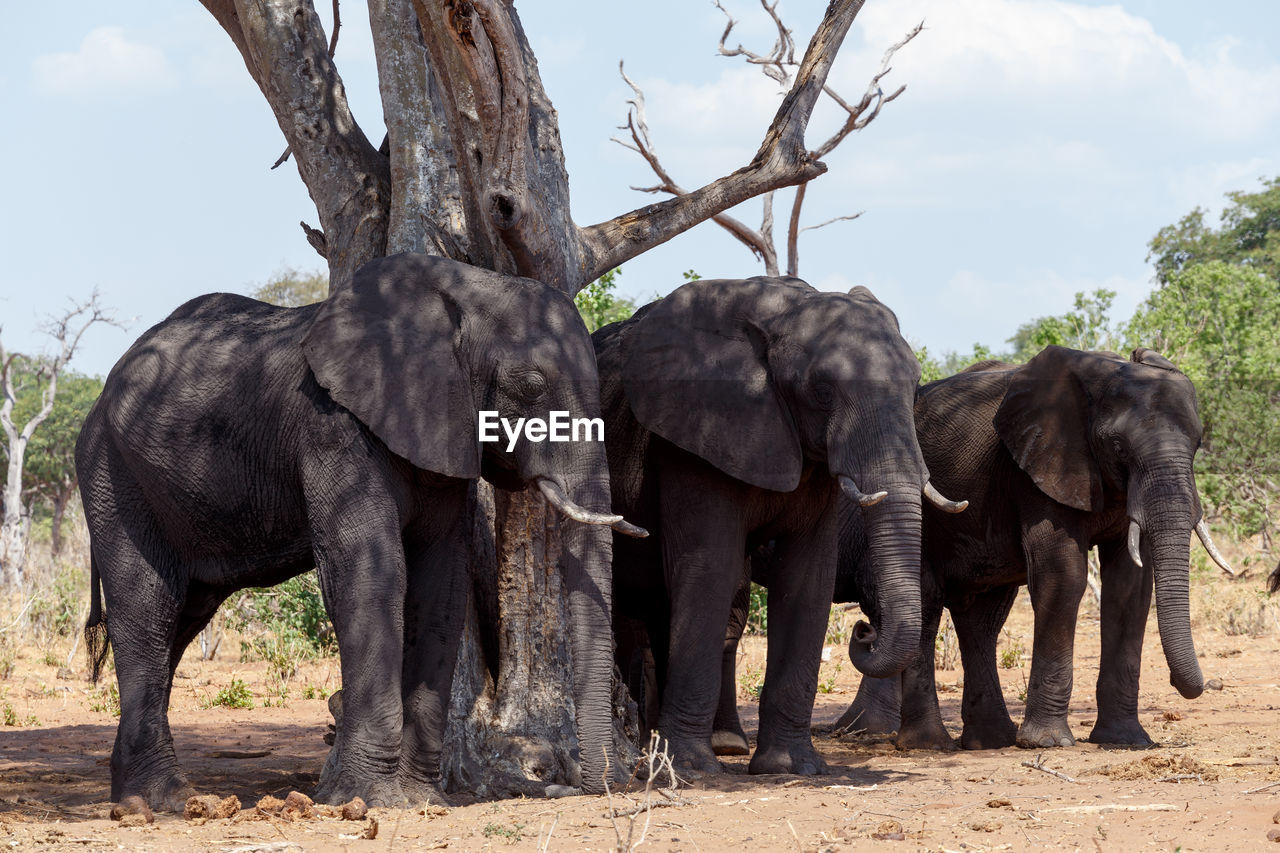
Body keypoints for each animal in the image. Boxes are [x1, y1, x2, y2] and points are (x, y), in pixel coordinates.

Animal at [74, 249, 645, 809]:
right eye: (530, 386)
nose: (587, 786)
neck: (462, 288)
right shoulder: (334, 427)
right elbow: (373, 574)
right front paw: (364, 799)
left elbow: (441, 585)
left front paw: (420, 799)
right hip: (113, 474)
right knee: (148, 609)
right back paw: (164, 801)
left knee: (185, 616)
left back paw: (134, 794)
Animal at [588, 274, 962, 778]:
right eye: (822, 390)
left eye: (916, 386)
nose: (865, 630)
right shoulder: (695, 436)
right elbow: (709, 568)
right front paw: (691, 772)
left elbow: (808, 575)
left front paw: (791, 767)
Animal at [814, 343, 1233, 747]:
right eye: (1118, 447)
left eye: (1198, 444)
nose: (1206, 683)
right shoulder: (1036, 469)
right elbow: (1063, 576)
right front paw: (1048, 743)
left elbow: (1130, 588)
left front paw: (1127, 741)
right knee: (929, 603)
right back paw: (928, 744)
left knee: (981, 617)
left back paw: (989, 741)